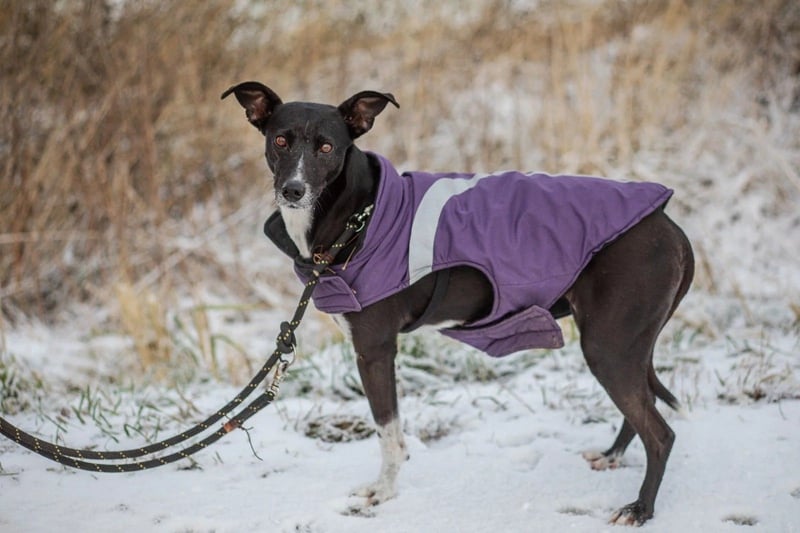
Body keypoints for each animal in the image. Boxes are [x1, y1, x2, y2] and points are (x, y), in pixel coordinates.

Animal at [222, 82, 694, 526]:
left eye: (326, 147)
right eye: (280, 140)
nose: (293, 190)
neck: (359, 215)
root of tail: (671, 230)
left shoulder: (374, 350)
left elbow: (388, 433)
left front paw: (384, 492)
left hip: (607, 348)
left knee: (661, 434)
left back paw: (640, 509)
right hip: (629, 346)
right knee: (643, 410)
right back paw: (612, 457)